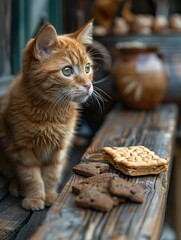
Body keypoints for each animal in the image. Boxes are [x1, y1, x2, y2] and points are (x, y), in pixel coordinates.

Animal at [0, 20, 94, 210]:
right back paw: (17, 186)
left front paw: (49, 195)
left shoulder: (59, 148)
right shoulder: (23, 148)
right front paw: (35, 197)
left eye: (87, 68)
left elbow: (52, 173)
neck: (51, 113)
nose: (88, 85)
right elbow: (31, 175)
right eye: (67, 71)